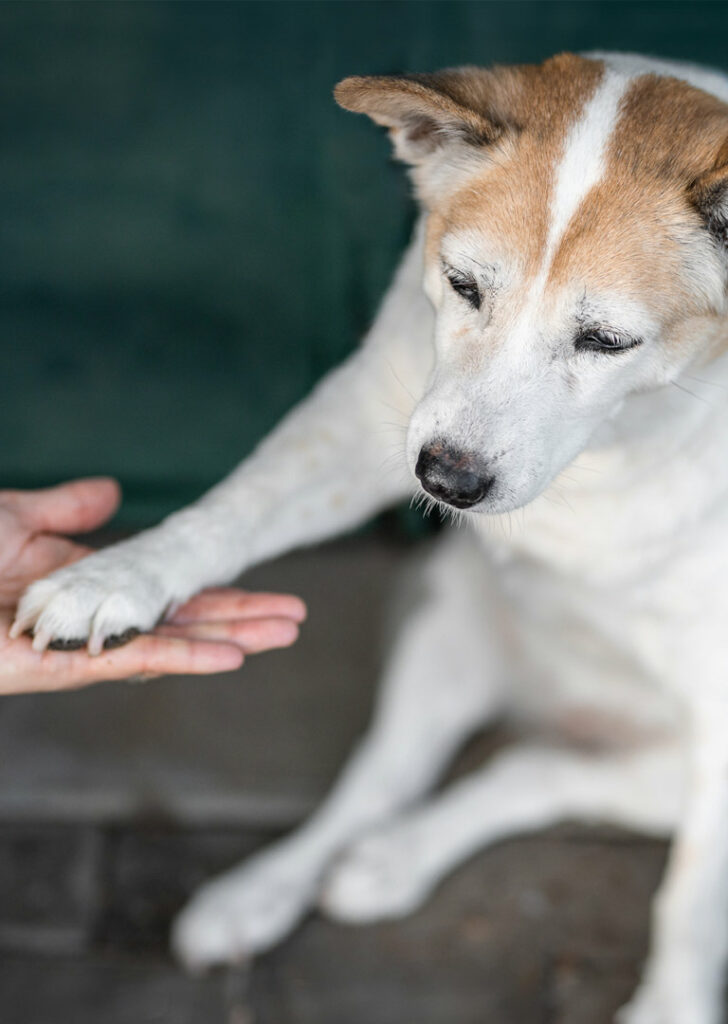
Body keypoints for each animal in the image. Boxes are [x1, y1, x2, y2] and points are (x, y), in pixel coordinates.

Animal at [11, 54, 728, 1024]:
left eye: (608, 340)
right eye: (462, 286)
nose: (447, 483)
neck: (618, 442)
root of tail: (566, 707)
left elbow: (687, 902)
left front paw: (673, 1004)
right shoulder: (367, 416)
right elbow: (231, 509)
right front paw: (117, 574)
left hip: (670, 769)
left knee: (538, 774)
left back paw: (396, 859)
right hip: (449, 632)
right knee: (387, 779)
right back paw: (283, 885)